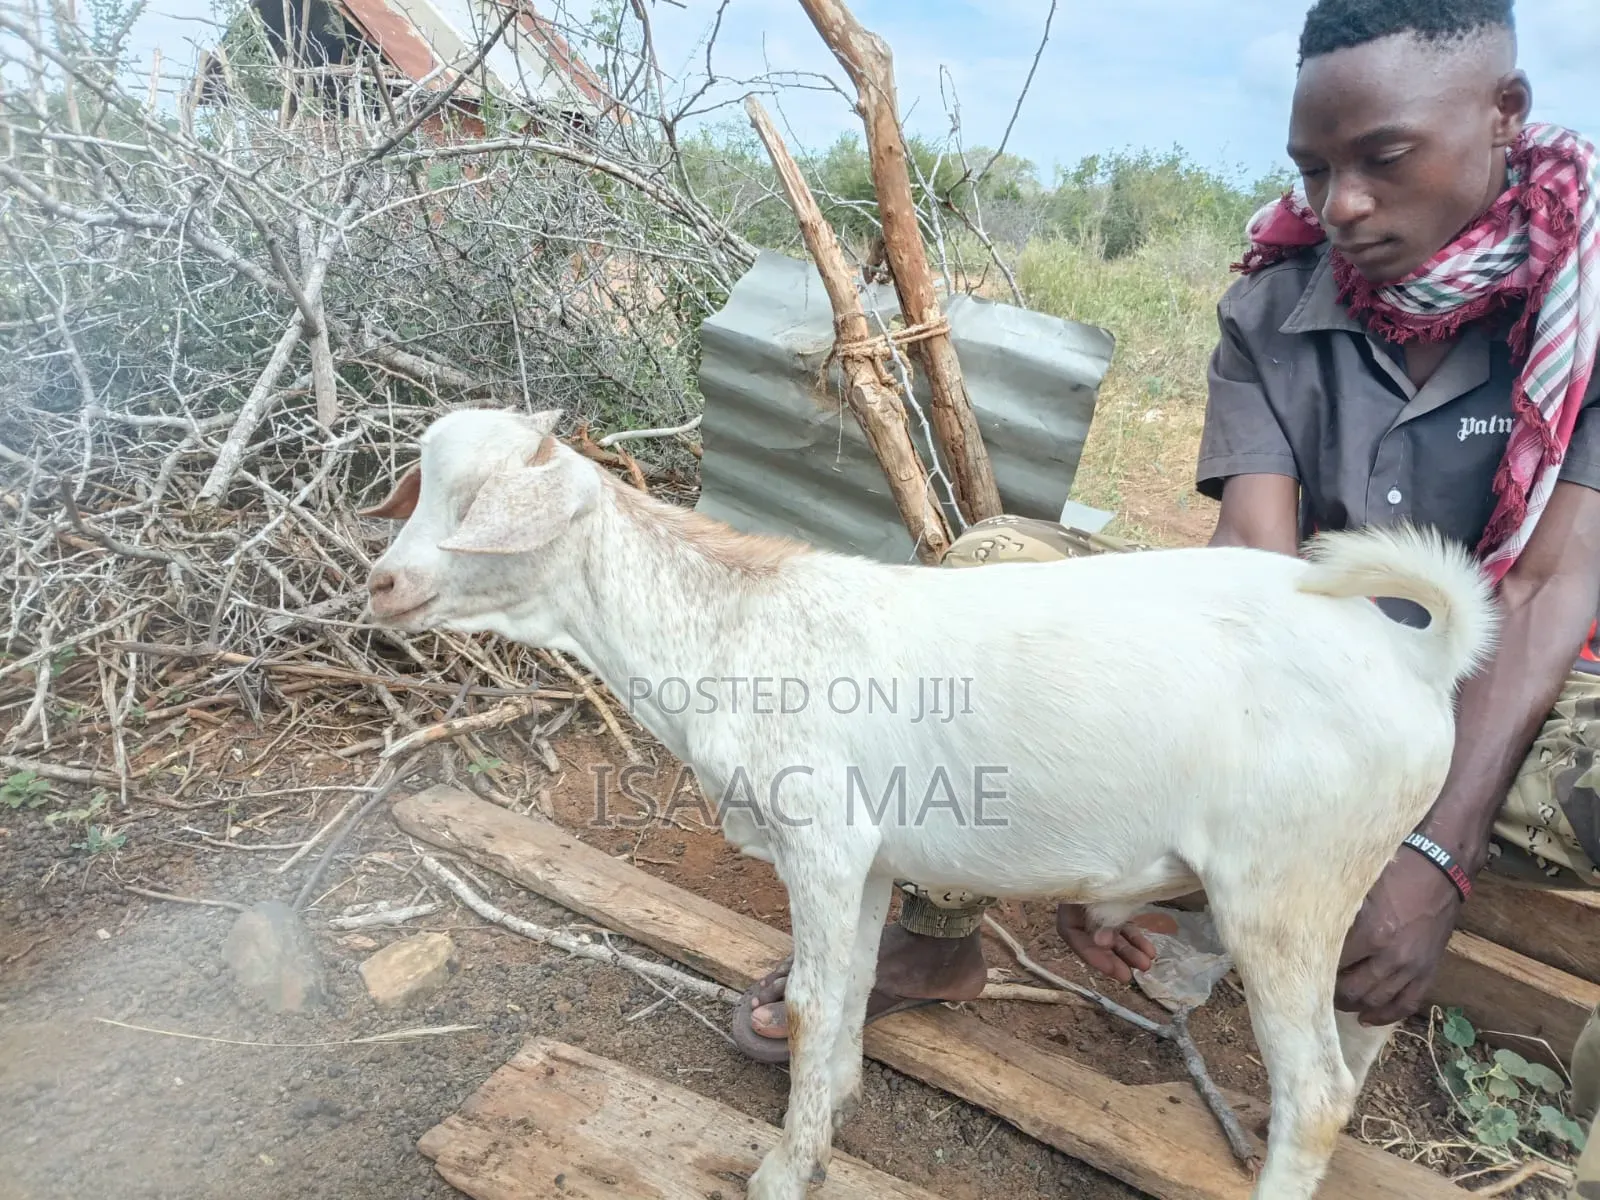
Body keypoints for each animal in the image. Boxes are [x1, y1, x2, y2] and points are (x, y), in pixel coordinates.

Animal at [357, 407, 1499, 1200]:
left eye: (477, 504)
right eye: (421, 489)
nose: (381, 583)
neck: (731, 634)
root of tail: (1417, 657)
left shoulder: (819, 839)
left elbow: (813, 1001)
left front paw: (781, 1169)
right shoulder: (864, 858)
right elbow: (852, 989)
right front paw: (831, 1114)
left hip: (1280, 890)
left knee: (1318, 1094)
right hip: (1341, 884)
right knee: (1357, 1038)